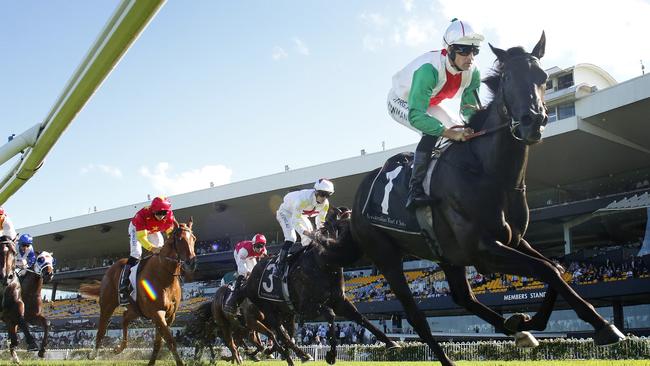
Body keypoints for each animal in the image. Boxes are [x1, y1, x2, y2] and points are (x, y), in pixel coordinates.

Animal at [79, 220, 195, 366]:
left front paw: (151, 363)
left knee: (124, 318)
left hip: (135, 309)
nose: (191, 262)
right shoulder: (157, 313)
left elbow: (159, 342)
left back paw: (119, 348)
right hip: (107, 305)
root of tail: (110, 268)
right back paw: (93, 354)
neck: (164, 276)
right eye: (180, 239)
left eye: (194, 239)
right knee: (102, 328)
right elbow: (170, 341)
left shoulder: (170, 315)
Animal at [243, 207, 394, 364]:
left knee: (284, 334)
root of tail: (250, 279)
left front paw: (391, 343)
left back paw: (293, 354)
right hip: (267, 309)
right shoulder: (305, 307)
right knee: (280, 334)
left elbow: (361, 318)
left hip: (286, 312)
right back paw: (293, 355)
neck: (324, 262)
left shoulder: (339, 301)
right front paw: (331, 355)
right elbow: (330, 314)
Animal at [344, 33, 624, 364]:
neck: (489, 173)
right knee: (416, 316)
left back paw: (516, 329)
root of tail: (355, 202)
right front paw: (605, 326)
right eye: (507, 78)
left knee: (463, 297)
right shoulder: (483, 249)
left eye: (543, 77)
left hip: (446, 254)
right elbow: (545, 270)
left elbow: (555, 269)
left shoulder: (512, 239)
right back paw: (448, 357)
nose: (532, 121)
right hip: (386, 256)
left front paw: (527, 321)